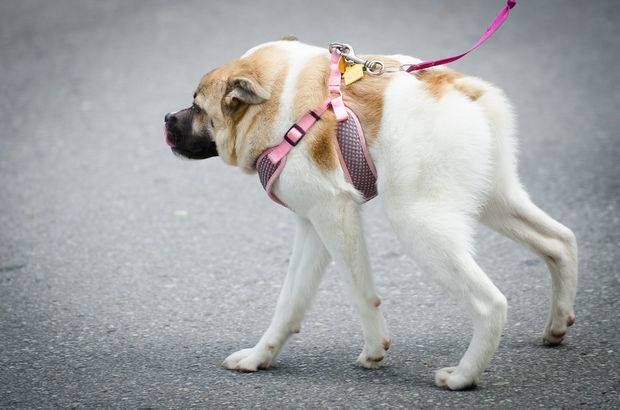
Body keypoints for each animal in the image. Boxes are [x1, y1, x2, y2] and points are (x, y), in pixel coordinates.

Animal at [163, 39, 576, 390]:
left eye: (197, 107)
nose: (166, 117)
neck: (280, 100)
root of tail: (460, 88)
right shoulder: (312, 226)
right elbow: (291, 301)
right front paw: (259, 357)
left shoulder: (335, 214)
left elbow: (360, 291)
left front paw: (376, 348)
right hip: (496, 200)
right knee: (560, 241)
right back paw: (557, 324)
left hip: (417, 221)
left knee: (491, 304)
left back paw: (463, 376)